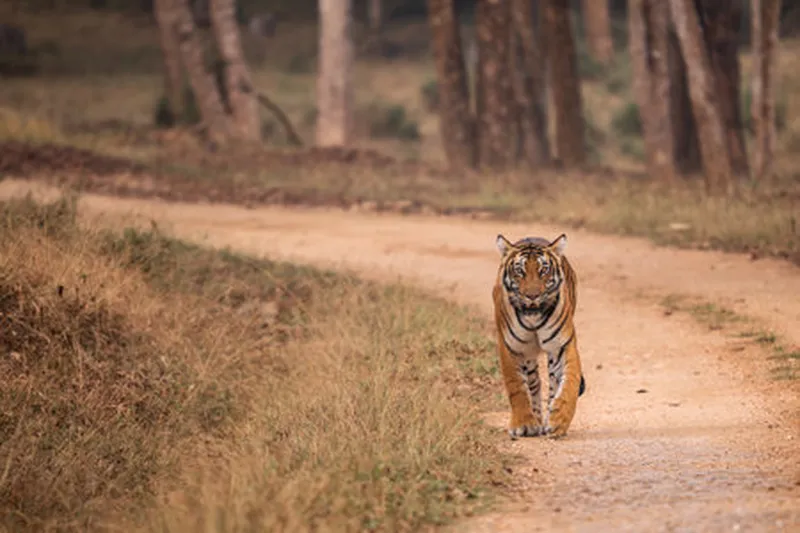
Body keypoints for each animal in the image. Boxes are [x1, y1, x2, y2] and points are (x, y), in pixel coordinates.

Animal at [490, 232, 584, 436]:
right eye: (520, 271)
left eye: (543, 270)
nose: (532, 296)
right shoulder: (510, 348)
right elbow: (516, 386)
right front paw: (524, 423)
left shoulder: (562, 346)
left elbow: (570, 382)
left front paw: (559, 420)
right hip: (527, 356)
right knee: (533, 383)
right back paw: (536, 421)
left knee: (551, 382)